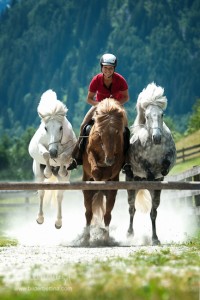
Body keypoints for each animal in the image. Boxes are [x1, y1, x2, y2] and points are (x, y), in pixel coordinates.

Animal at [28, 90, 77, 229]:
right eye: (46, 128)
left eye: (61, 128)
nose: (53, 152)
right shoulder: (41, 146)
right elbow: (45, 154)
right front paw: (48, 172)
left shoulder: (70, 150)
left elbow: (64, 157)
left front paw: (61, 169)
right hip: (38, 174)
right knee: (41, 192)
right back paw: (40, 218)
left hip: (64, 181)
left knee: (60, 195)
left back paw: (58, 222)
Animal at [81, 98, 127, 241]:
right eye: (100, 133)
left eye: (117, 132)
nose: (109, 160)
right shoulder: (90, 152)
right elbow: (95, 170)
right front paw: (98, 175)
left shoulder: (119, 157)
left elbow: (111, 171)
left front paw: (105, 172)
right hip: (87, 191)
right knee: (88, 213)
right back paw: (86, 237)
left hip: (112, 194)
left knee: (107, 215)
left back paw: (105, 237)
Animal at [127, 82, 176, 244]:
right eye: (147, 116)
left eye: (162, 114)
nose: (157, 138)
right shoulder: (142, 164)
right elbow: (147, 168)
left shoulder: (169, 160)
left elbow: (166, 165)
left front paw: (155, 239)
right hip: (131, 184)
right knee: (131, 208)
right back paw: (129, 234)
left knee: (152, 210)